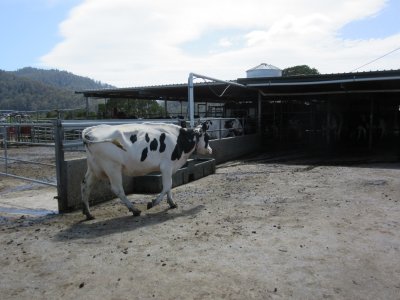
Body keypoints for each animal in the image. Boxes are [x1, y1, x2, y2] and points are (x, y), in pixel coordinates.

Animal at [80, 122, 212, 220]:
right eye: (207, 137)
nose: (210, 150)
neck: (179, 139)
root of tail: (90, 131)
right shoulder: (166, 166)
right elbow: (167, 185)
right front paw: (152, 203)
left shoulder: (169, 168)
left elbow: (169, 186)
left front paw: (172, 203)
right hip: (112, 167)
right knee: (117, 189)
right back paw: (134, 210)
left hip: (93, 168)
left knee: (85, 186)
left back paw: (88, 213)